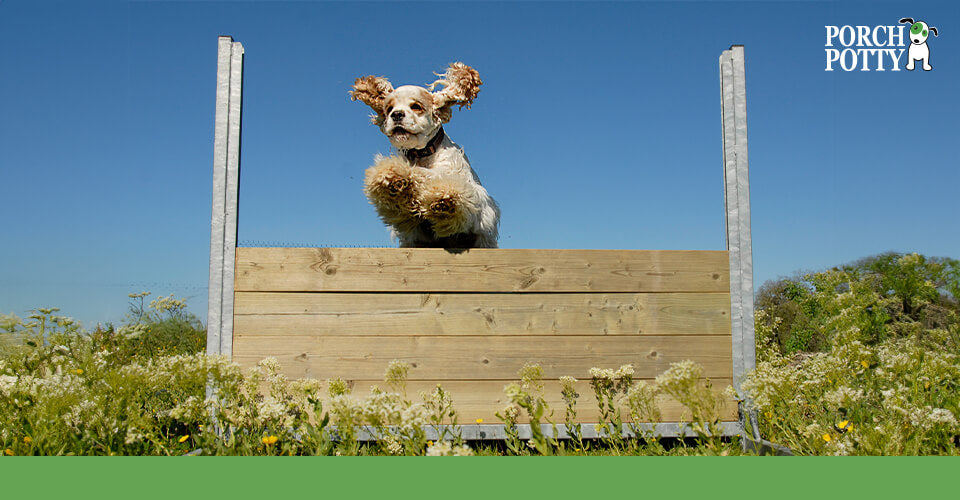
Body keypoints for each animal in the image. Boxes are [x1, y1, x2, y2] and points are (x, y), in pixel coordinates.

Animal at [352, 63, 502, 249]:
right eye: (389, 108)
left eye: (416, 106)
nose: (396, 114)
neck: (421, 155)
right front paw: (392, 179)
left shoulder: (474, 199)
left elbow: (444, 185)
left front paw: (444, 200)